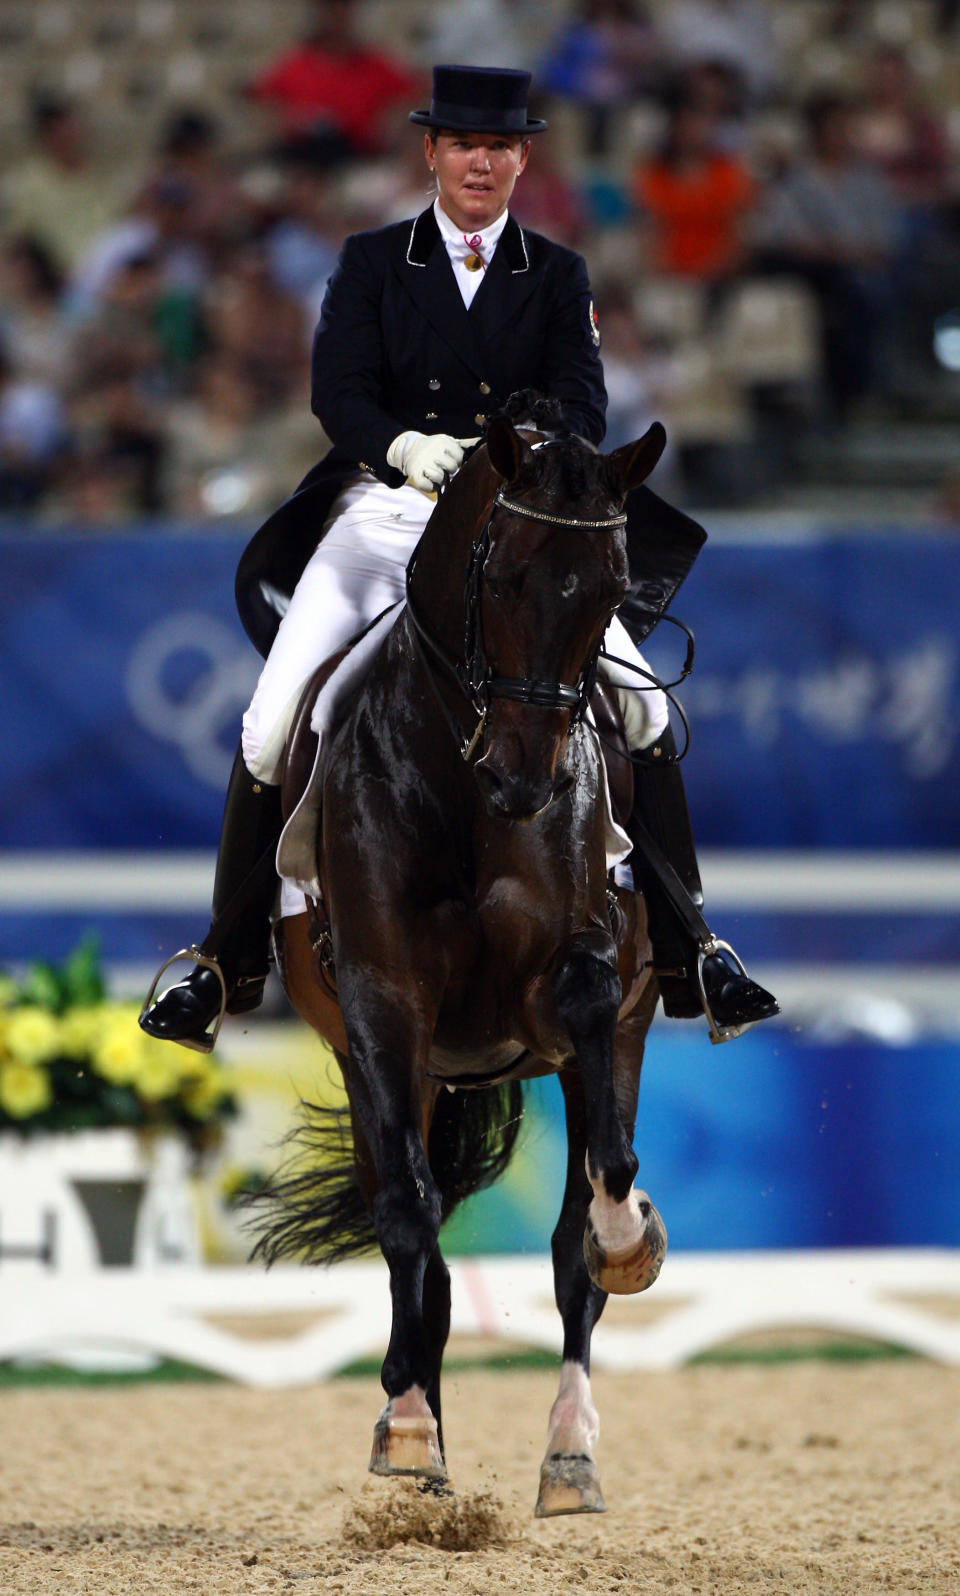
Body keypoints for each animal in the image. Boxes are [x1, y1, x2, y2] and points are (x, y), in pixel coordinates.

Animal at [258, 405, 669, 1513]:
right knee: (417, 1227)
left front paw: (630, 1240)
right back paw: (418, 1442)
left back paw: (570, 1454)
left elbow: (598, 1191)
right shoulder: (383, 1002)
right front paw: (406, 1430)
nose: (528, 780)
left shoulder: (583, 985)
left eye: (614, 588)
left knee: (566, 1240)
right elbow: (409, 1218)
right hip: (382, 1063)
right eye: (504, 576)